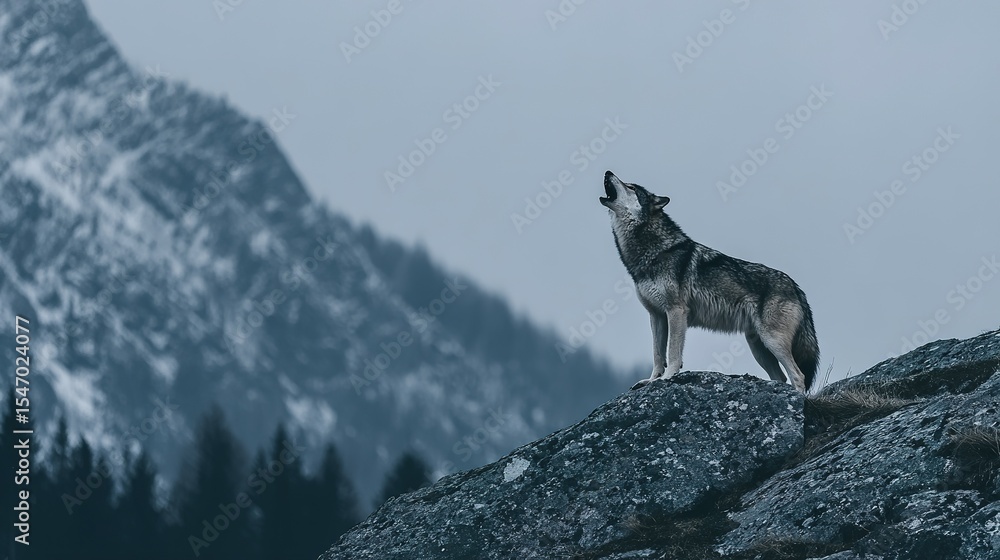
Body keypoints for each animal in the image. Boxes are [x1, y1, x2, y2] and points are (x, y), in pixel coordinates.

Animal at [600, 171, 819, 393]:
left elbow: (672, 353)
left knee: (798, 375)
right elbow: (657, 354)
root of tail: (796, 287)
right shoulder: (656, 316)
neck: (655, 251)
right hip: (759, 347)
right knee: (781, 378)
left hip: (772, 341)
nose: (608, 172)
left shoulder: (677, 312)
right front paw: (652, 380)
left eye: (631, 187)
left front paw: (668, 378)